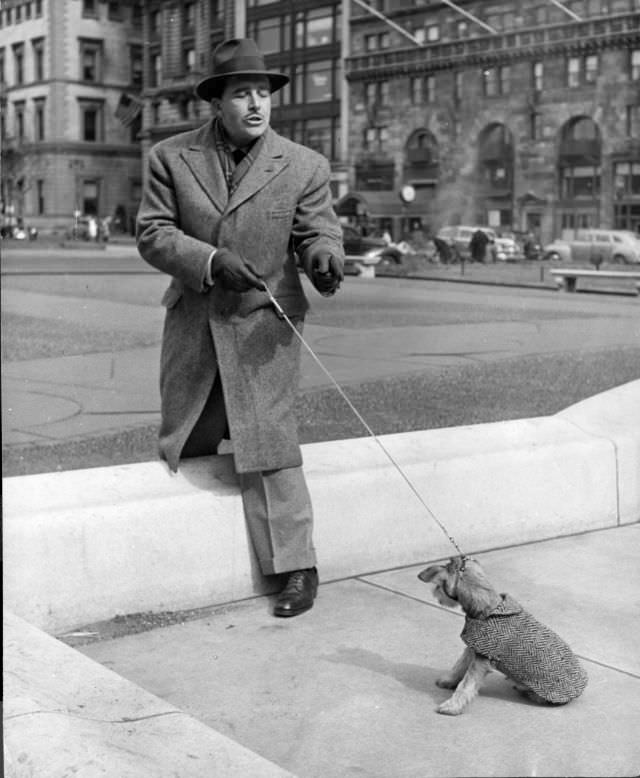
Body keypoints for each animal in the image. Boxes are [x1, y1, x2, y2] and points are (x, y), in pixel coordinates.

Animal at [418, 556, 588, 712]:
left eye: (439, 585)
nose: (436, 594)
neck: (487, 607)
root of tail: (579, 690)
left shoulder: (481, 658)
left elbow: (466, 684)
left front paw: (451, 706)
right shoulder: (473, 648)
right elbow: (459, 665)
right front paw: (448, 681)